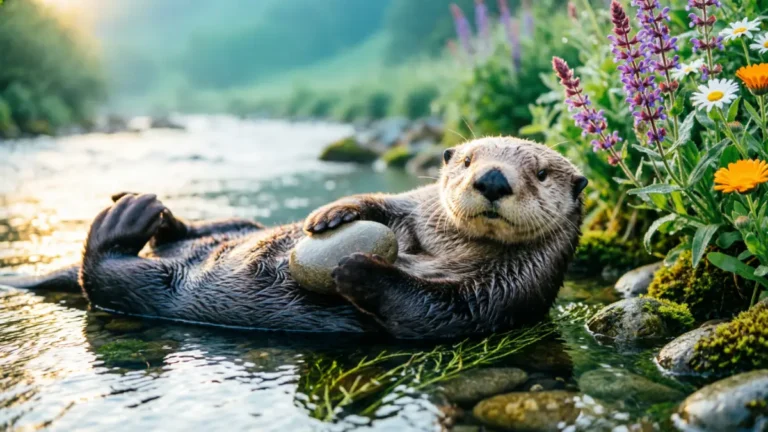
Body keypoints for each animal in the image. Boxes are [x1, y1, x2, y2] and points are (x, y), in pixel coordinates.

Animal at [0, 137, 587, 339]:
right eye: (465, 160)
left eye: (539, 172)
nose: (492, 179)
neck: (437, 245)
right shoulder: (413, 206)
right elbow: (379, 203)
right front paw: (330, 214)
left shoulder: (506, 293)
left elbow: (432, 313)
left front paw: (357, 269)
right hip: (232, 224)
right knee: (201, 230)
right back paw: (157, 213)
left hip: (155, 288)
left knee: (104, 275)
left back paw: (129, 218)